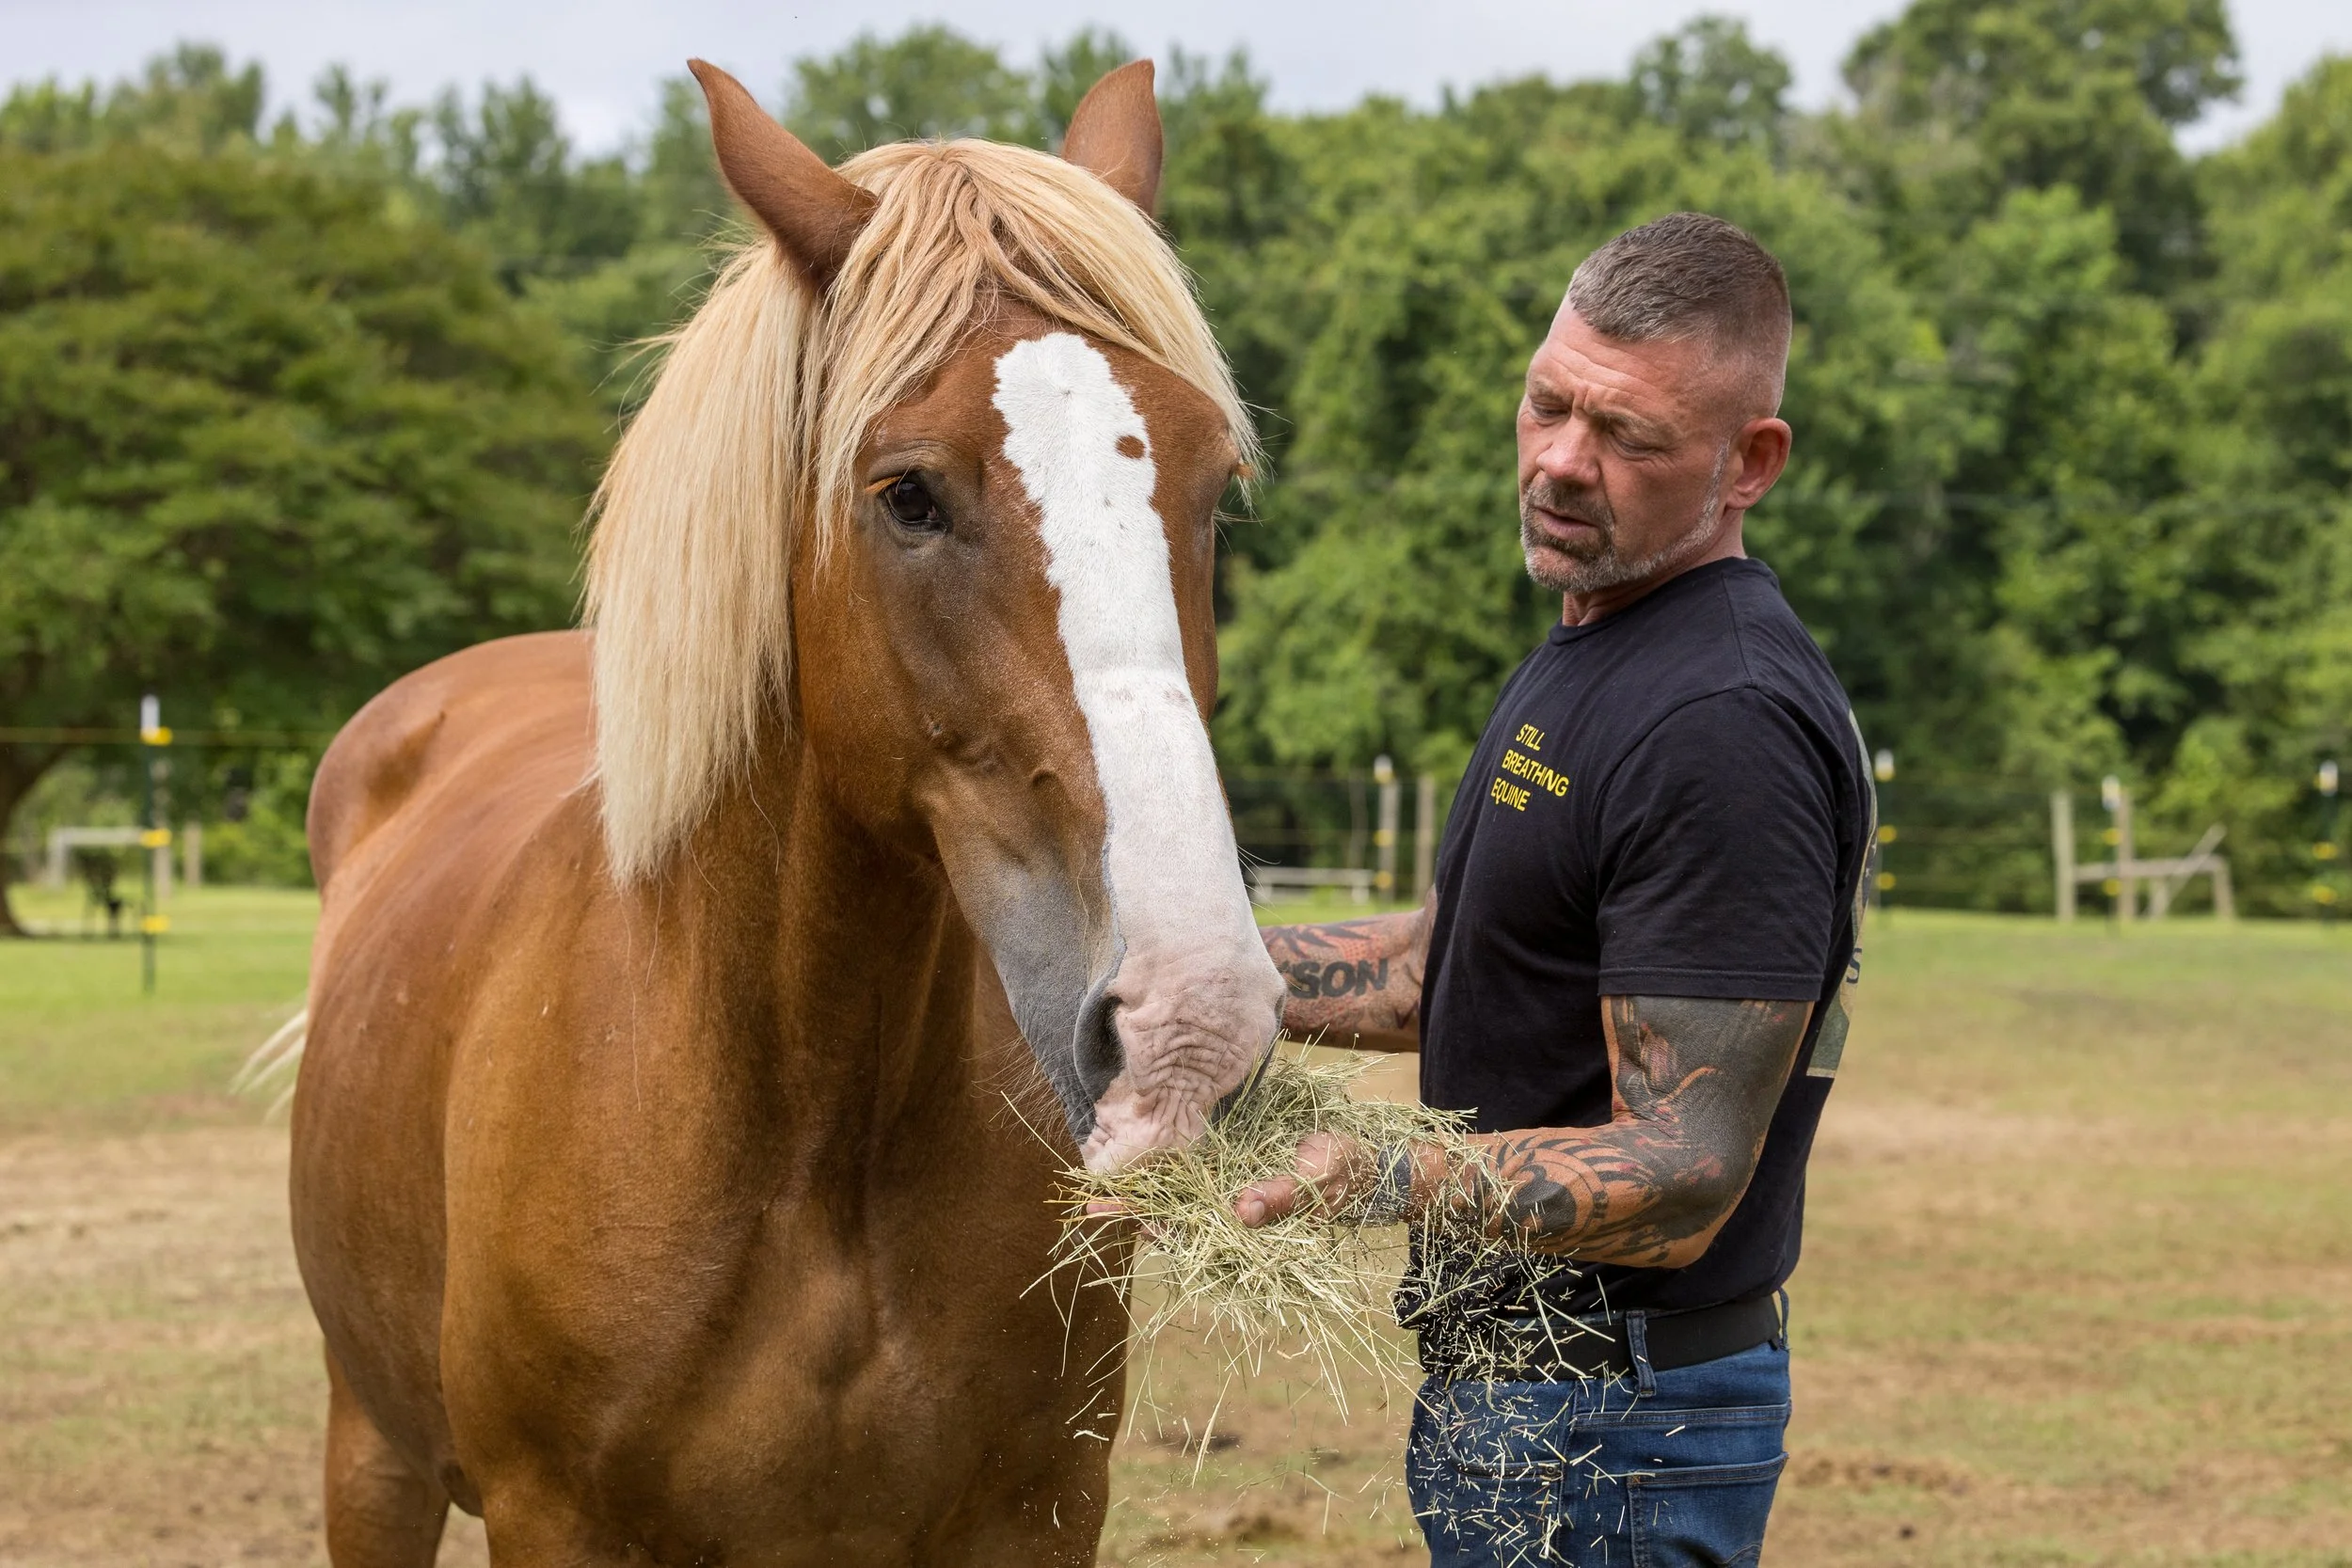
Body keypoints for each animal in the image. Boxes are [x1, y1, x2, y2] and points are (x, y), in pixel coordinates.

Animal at [279, 59, 1285, 1565]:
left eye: (1212, 484)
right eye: (908, 492)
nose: (1190, 1013)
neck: (814, 1146)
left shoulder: (1043, 1507)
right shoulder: (549, 1516)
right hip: (374, 1451)